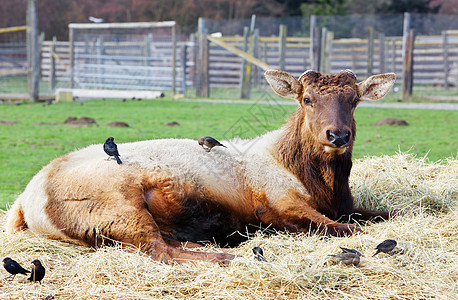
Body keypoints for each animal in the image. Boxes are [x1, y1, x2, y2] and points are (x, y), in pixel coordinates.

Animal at [4, 69, 398, 264]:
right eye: (307, 99)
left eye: (354, 99)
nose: (338, 135)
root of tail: (23, 203)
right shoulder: (277, 205)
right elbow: (347, 230)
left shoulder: (346, 205)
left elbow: (388, 214)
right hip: (118, 207)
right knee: (157, 250)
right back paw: (224, 256)